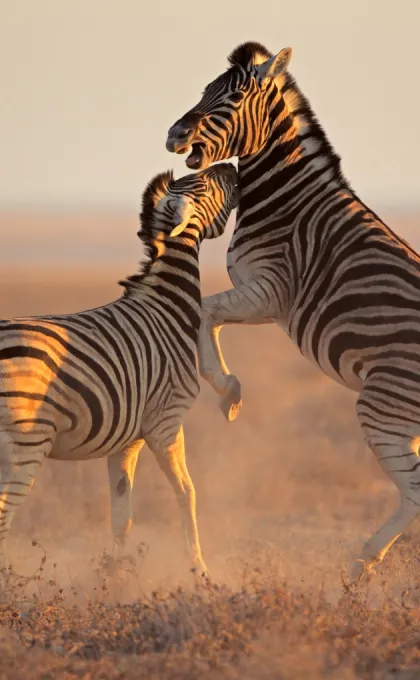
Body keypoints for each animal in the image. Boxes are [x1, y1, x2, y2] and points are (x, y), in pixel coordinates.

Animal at [0, 162, 238, 577]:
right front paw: (199, 570)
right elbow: (186, 492)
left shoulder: (127, 439)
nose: (232, 168)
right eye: (205, 184)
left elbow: (121, 514)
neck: (166, 307)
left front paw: (112, 576)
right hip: (26, 442)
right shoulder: (165, 422)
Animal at [166, 41, 420, 584]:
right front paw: (229, 391)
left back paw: (360, 564)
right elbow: (210, 316)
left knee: (416, 492)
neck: (286, 198)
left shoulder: (271, 290)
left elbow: (204, 310)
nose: (173, 134)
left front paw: (228, 391)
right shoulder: (266, 301)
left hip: (383, 407)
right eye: (205, 90)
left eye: (232, 97)